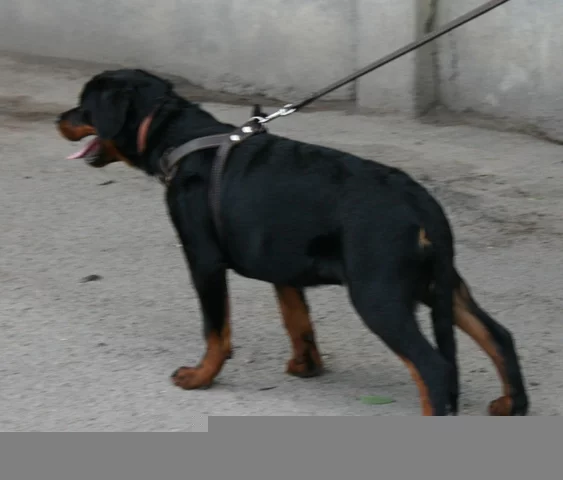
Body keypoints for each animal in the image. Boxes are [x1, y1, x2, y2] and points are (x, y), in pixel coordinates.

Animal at [57, 69, 529, 416]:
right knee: (499, 335)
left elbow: (216, 330)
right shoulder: (281, 262)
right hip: (436, 283)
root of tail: (422, 201)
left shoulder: (203, 260)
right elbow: (296, 318)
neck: (181, 139)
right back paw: (512, 403)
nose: (60, 118)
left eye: (85, 104)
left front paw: (200, 376)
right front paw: (306, 366)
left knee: (432, 366)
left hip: (379, 293)